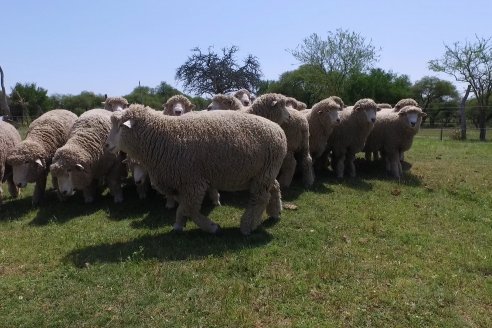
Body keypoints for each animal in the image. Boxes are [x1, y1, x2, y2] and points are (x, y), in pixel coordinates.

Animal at [105, 104, 286, 234]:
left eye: (120, 126)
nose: (106, 145)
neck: (161, 137)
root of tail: (279, 130)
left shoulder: (193, 182)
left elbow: (190, 208)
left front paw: (211, 227)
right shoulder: (180, 183)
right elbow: (183, 208)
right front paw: (179, 224)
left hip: (264, 173)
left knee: (261, 197)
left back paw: (247, 226)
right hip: (265, 172)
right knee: (275, 187)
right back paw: (275, 212)